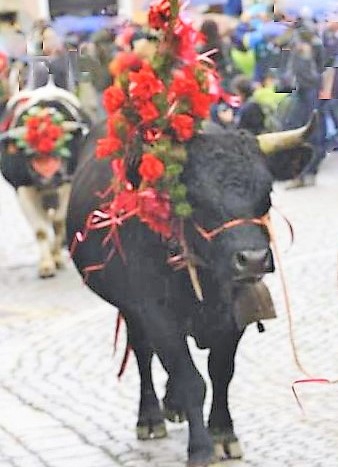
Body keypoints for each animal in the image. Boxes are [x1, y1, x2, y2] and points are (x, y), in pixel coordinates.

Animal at [67, 118, 316, 467]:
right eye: (195, 198)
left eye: (266, 192)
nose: (252, 259)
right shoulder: (158, 315)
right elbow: (190, 379)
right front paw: (200, 448)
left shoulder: (233, 316)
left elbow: (221, 372)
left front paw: (224, 434)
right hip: (131, 310)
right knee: (143, 354)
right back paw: (150, 418)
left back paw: (172, 406)